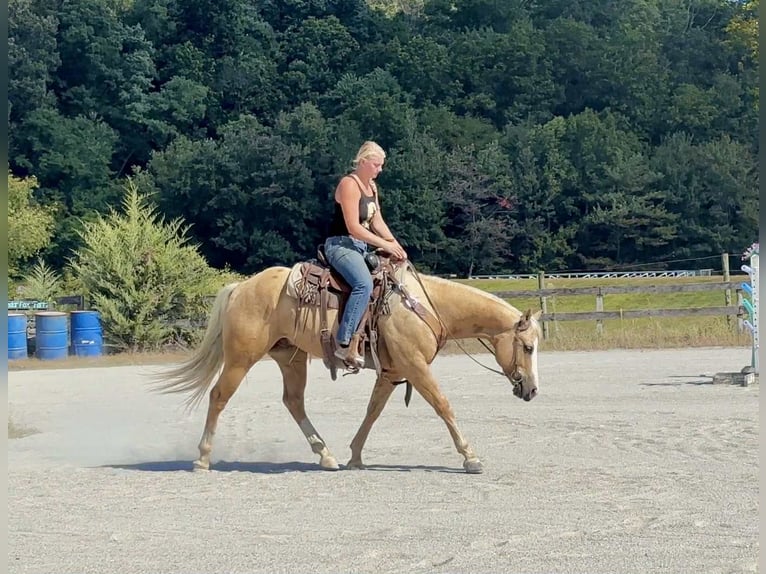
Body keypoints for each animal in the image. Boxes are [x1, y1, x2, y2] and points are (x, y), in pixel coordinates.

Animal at [152, 262, 542, 474]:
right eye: (527, 347)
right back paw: (202, 459)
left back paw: (326, 455)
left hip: (291, 358)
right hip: (240, 357)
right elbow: (444, 406)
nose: (532, 389)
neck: (424, 306)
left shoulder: (392, 372)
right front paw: (470, 457)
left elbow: (372, 411)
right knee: (219, 396)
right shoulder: (415, 367)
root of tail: (240, 287)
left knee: (293, 402)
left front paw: (354, 455)